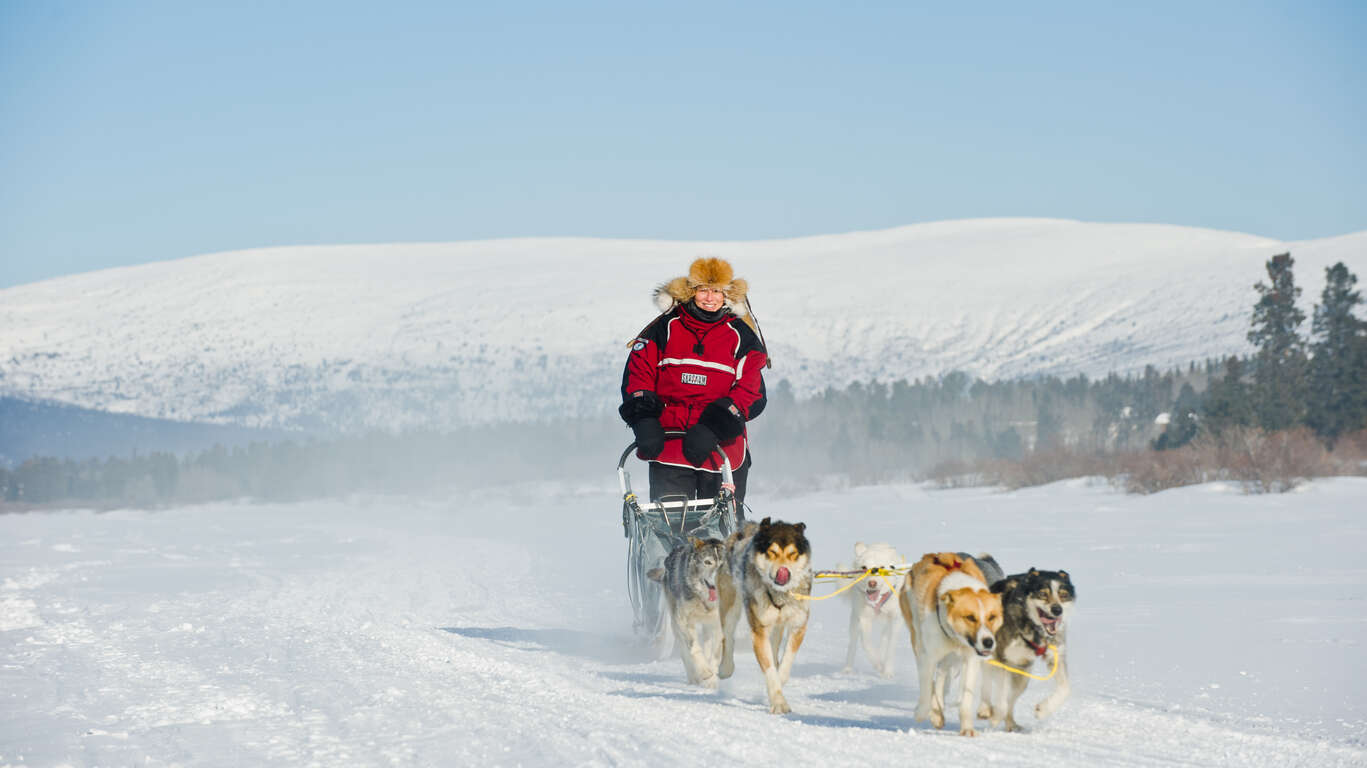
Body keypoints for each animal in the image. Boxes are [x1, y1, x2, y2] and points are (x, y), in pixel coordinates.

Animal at [647, 532, 732, 688]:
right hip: (675, 626)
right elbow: (694, 647)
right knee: (685, 653)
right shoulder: (683, 621)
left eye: (723, 563)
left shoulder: (717, 625)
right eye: (707, 562)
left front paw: (712, 678)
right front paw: (704, 672)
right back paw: (694, 677)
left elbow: (715, 654)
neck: (703, 599)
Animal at [716, 513, 809, 710]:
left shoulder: (798, 624)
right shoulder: (759, 629)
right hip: (730, 607)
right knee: (727, 636)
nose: (784, 572)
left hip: (776, 626)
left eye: (793, 554)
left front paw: (780, 678)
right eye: (771, 552)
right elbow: (769, 670)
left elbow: (786, 661)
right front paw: (779, 703)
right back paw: (726, 668)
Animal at [836, 538, 902, 675]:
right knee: (853, 644)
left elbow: (890, 647)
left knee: (884, 638)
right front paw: (878, 664)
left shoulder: (896, 619)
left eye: (881, 568)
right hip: (854, 620)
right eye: (864, 567)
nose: (872, 583)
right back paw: (847, 669)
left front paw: (888, 671)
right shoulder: (864, 618)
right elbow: (867, 645)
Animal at [896, 546, 1006, 732]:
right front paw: (925, 713)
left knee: (942, 677)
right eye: (970, 617)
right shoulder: (928, 657)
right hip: (918, 640)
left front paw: (967, 728)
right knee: (934, 681)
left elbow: (966, 697)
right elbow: (928, 689)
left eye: (992, 617)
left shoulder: (970, 659)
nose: (988, 642)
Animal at [984, 565, 1077, 727]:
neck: (1034, 629)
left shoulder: (1055, 656)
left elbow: (1066, 689)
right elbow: (1001, 699)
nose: (1057, 610)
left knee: (1011, 699)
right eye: (1043, 594)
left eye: (1063, 595)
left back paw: (1012, 725)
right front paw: (995, 717)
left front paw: (1044, 709)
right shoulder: (1002, 659)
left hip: (1022, 675)